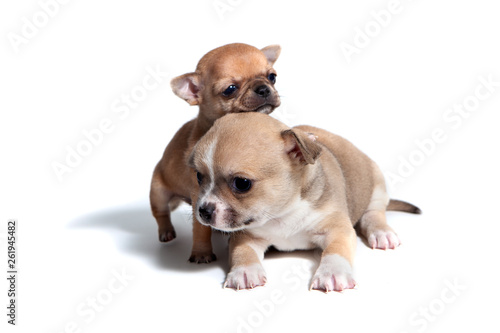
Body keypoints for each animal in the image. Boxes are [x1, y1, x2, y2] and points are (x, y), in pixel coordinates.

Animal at [148, 42, 282, 262]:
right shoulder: (200, 194)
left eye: (272, 77)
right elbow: (201, 228)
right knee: (161, 213)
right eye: (230, 89)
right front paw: (202, 253)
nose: (263, 88)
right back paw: (166, 232)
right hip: (158, 191)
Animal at [189, 111, 420, 290]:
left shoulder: (338, 229)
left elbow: (336, 250)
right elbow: (241, 252)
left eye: (242, 183)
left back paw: (381, 233)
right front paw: (244, 271)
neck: (282, 214)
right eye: (199, 177)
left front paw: (332, 272)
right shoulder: (246, 236)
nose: (203, 211)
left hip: (376, 186)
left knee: (374, 214)